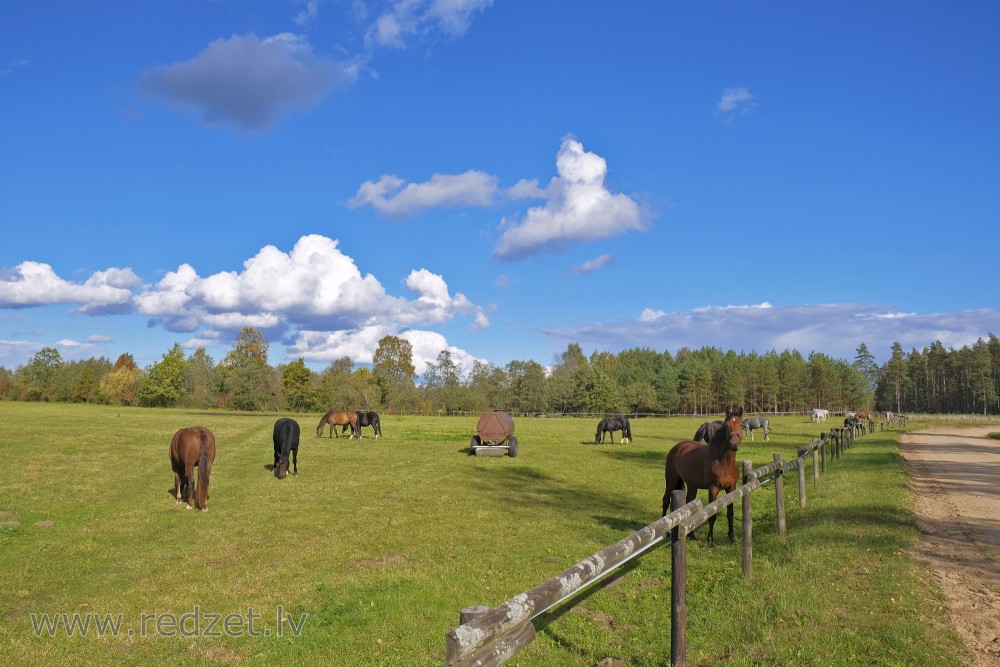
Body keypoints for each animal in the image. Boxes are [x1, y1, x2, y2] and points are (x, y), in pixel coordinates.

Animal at [660, 408, 748, 548]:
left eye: (741, 425)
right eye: (726, 426)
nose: (734, 444)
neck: (723, 462)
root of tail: (677, 447)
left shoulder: (731, 488)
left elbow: (730, 514)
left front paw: (732, 538)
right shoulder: (713, 489)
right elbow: (712, 515)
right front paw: (710, 541)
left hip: (692, 486)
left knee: (688, 504)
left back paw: (691, 535)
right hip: (671, 480)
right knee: (665, 500)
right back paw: (667, 533)